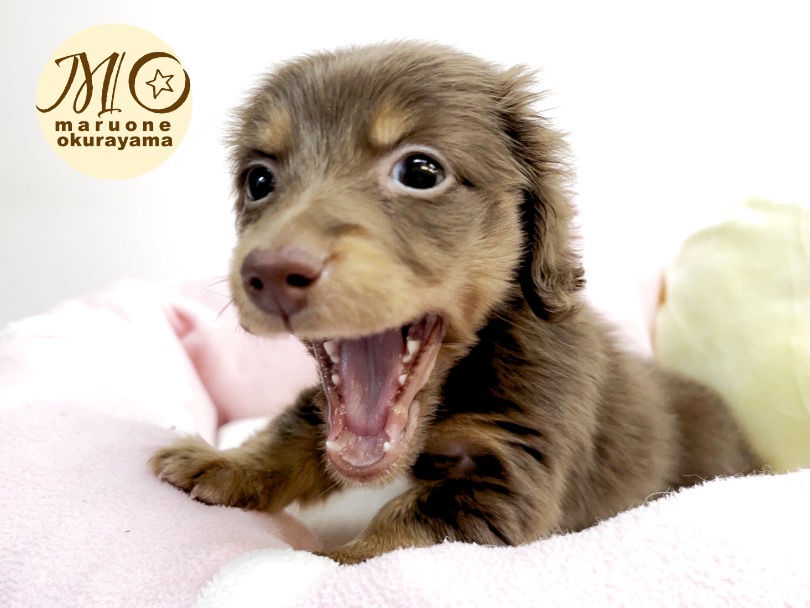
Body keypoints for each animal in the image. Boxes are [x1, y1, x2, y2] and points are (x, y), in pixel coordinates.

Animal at [150, 41, 756, 564]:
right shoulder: (330, 412)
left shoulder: (505, 472)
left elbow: (400, 527)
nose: (270, 272)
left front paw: (329, 563)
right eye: (259, 180)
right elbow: (296, 427)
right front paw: (221, 462)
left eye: (421, 172)